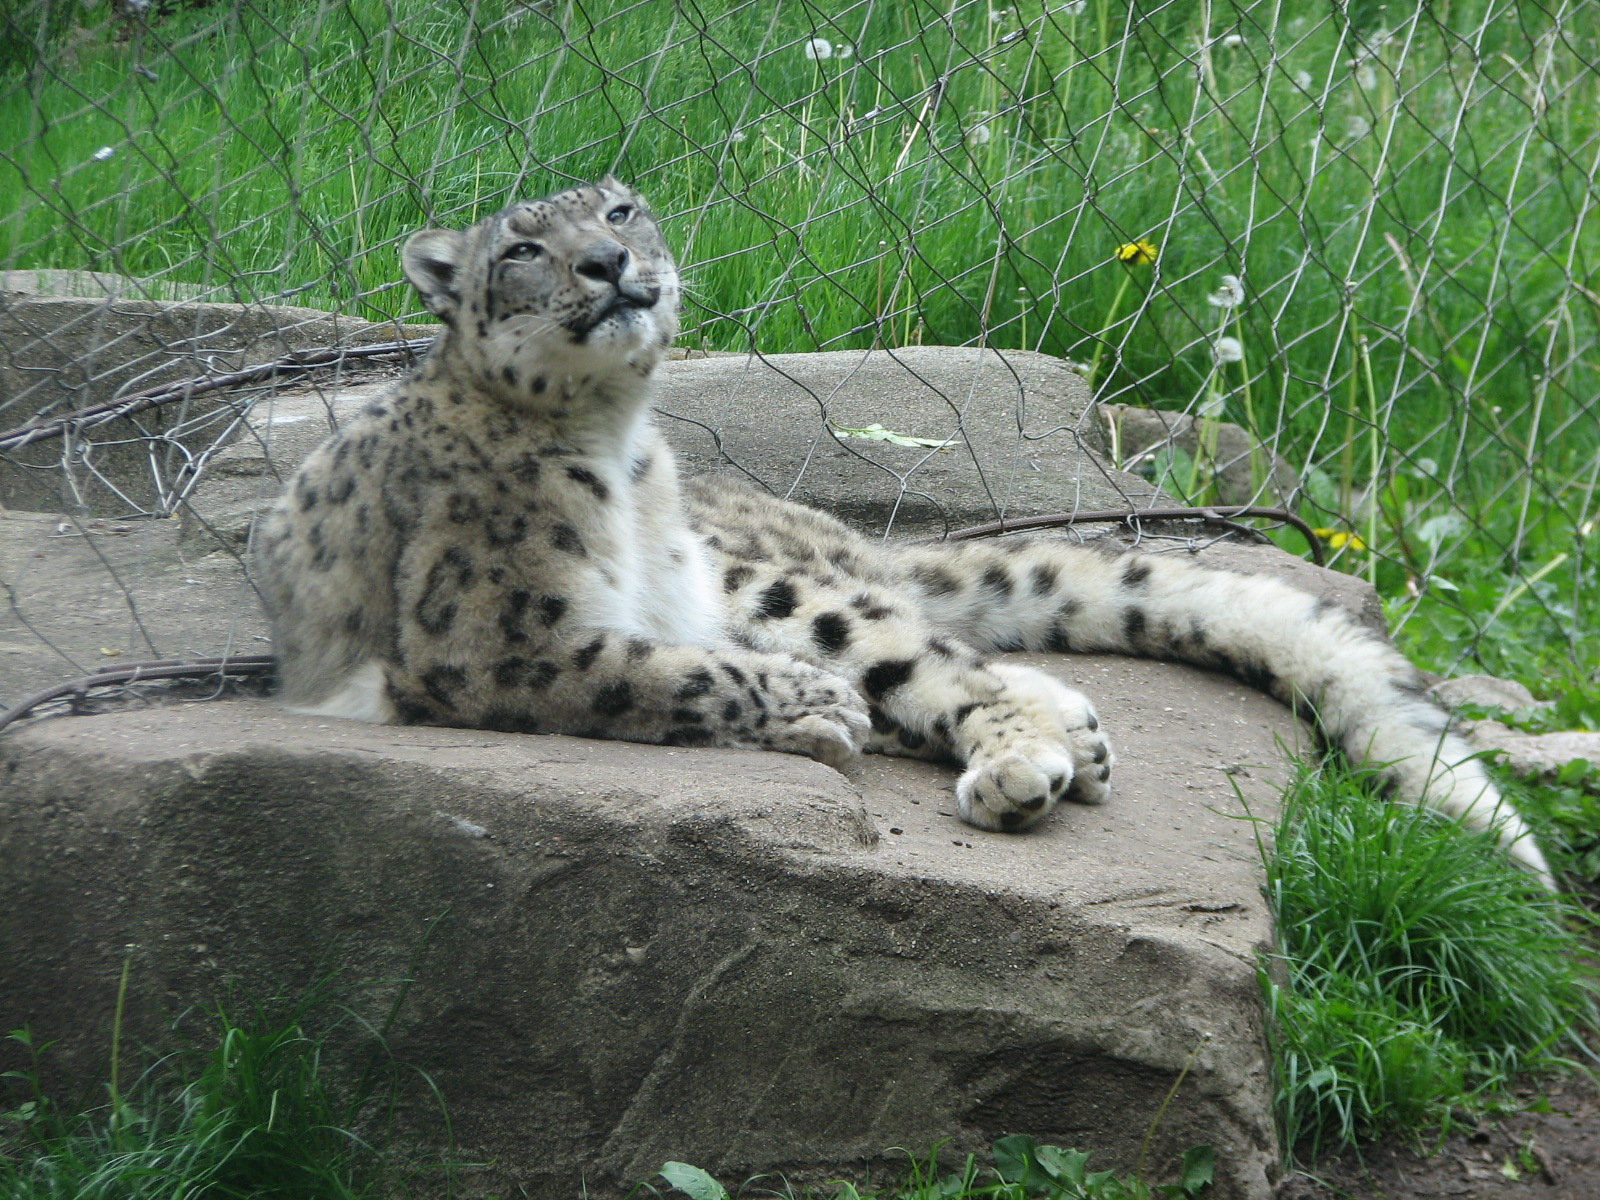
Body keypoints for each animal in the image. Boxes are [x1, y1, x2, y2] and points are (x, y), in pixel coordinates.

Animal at [255, 176, 1552, 889]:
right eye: (523, 247)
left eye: (619, 210)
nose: (610, 261)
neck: (622, 442)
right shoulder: (495, 636)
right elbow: (655, 672)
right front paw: (808, 710)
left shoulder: (629, 618)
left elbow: (691, 664)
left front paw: (823, 707)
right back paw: (1050, 743)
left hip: (776, 585)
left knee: (928, 650)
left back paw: (1035, 756)